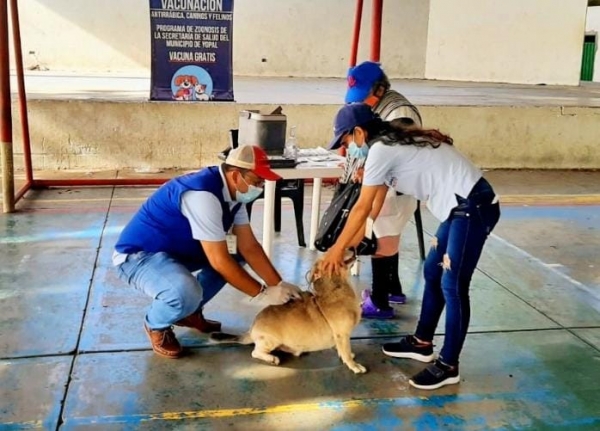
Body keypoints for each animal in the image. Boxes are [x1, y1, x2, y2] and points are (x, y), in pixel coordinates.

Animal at [211, 260, 366, 374]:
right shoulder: (342, 335)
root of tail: (251, 329)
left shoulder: (340, 337)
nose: (353, 248)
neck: (336, 290)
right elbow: (346, 352)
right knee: (255, 352)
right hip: (270, 341)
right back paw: (271, 358)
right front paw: (354, 365)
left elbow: (342, 350)